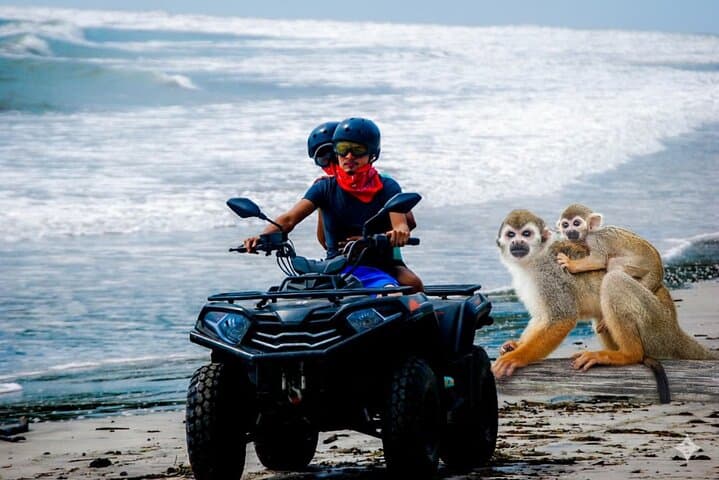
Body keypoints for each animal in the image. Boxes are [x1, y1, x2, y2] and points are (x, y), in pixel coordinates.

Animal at [492, 209, 718, 382]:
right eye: (511, 235)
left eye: (526, 234)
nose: (517, 243)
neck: (533, 260)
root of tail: (675, 329)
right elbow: (541, 318)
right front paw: (514, 346)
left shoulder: (549, 274)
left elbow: (561, 319)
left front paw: (516, 358)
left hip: (657, 328)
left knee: (614, 280)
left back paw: (627, 355)